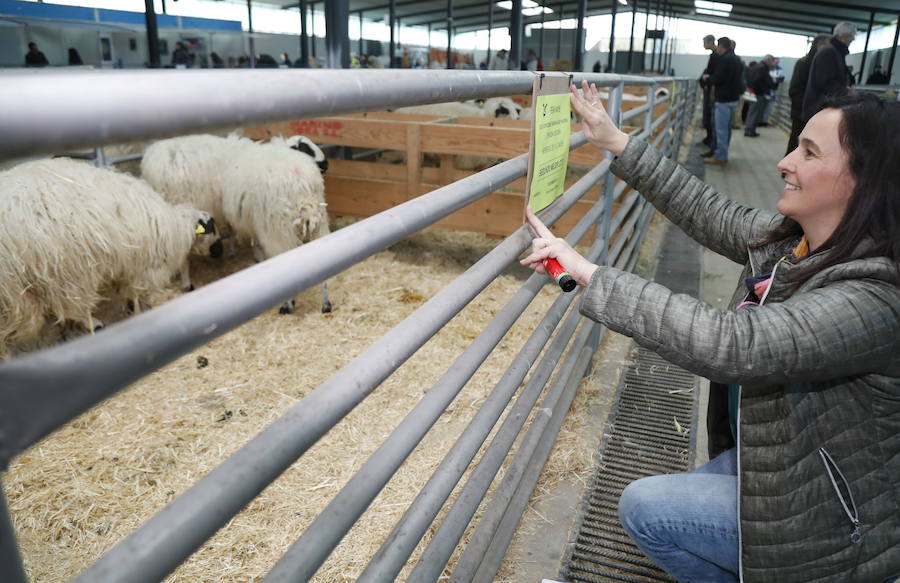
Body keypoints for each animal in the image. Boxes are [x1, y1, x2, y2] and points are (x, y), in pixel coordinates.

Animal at [0, 157, 220, 356]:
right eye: (212, 227)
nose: (219, 252)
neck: (175, 228)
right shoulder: (144, 266)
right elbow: (138, 293)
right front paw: (141, 309)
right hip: (66, 273)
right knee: (75, 308)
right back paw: (96, 325)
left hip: (19, 296)